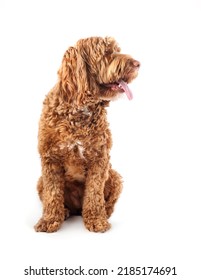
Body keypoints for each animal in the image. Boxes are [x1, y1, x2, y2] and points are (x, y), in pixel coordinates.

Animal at [34, 37, 140, 234]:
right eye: (107, 52)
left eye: (117, 50)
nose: (138, 64)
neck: (79, 109)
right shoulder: (50, 159)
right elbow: (52, 194)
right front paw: (49, 220)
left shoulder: (99, 159)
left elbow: (94, 193)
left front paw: (96, 220)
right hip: (40, 181)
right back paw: (64, 211)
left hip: (114, 176)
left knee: (109, 202)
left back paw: (104, 213)